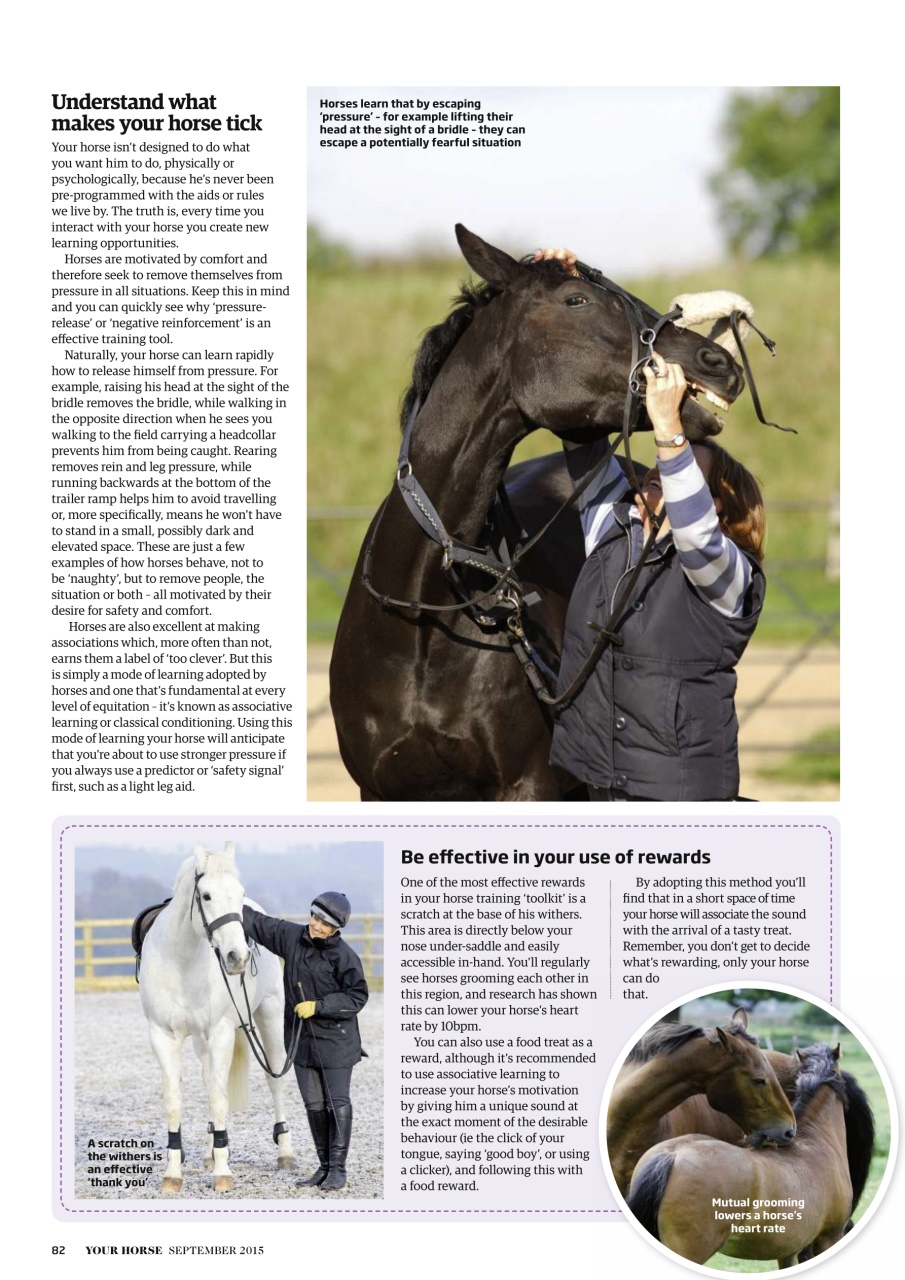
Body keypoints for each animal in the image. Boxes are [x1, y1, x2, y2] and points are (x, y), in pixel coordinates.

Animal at [138, 842, 296, 1192]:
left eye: (240, 893)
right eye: (206, 895)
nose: (237, 957)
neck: (182, 961)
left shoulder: (221, 1033)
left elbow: (219, 1098)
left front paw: (223, 1173)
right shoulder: (162, 1037)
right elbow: (175, 1102)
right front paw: (173, 1173)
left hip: (270, 1015)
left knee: (275, 1079)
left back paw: (285, 1153)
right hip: (201, 1042)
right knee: (210, 1077)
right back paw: (212, 1152)